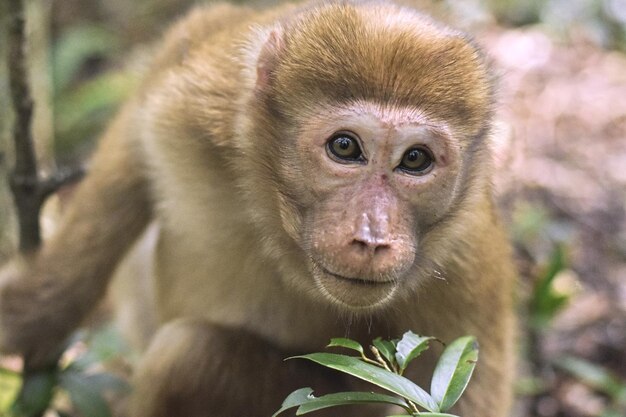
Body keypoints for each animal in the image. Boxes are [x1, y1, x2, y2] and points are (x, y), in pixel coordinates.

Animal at [0, 1, 516, 414]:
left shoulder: (466, 251)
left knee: (190, 357)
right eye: (345, 147)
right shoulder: (200, 95)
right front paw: (31, 313)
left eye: (415, 160)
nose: (371, 238)